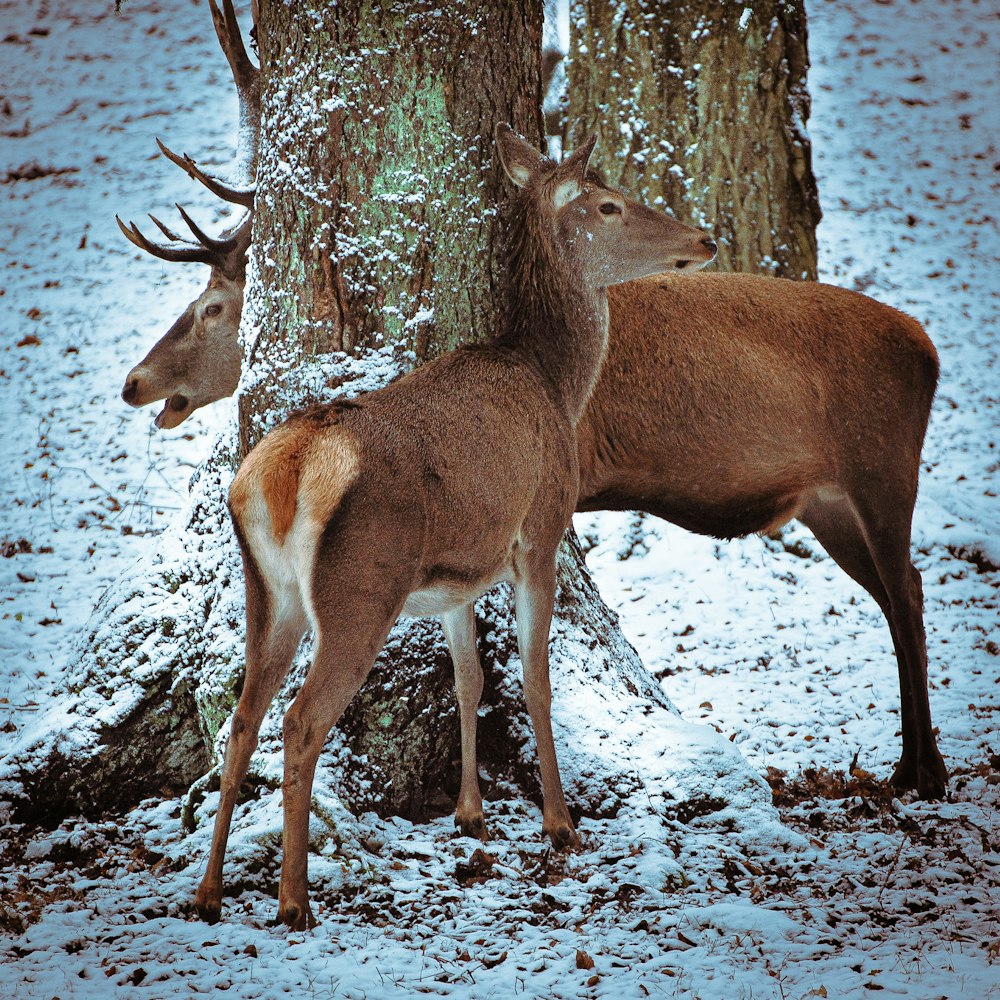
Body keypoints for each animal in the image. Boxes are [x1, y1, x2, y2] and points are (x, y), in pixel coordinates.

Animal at [189, 127, 720, 928]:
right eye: (610, 204)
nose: (706, 239)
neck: (558, 385)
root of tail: (286, 471)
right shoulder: (541, 528)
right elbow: (534, 678)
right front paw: (560, 823)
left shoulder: (458, 577)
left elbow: (470, 678)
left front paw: (471, 813)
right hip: (359, 589)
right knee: (301, 721)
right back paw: (292, 900)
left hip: (267, 590)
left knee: (243, 718)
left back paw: (209, 890)